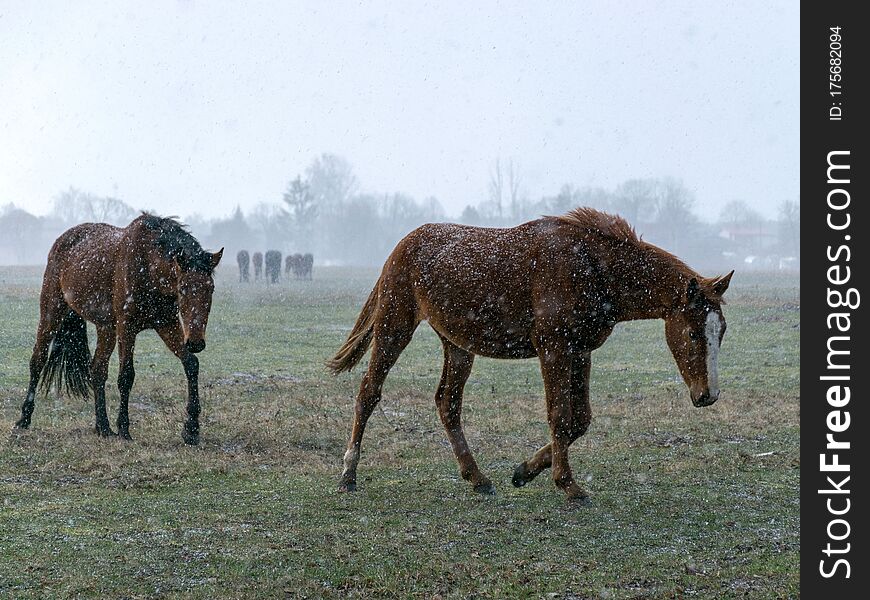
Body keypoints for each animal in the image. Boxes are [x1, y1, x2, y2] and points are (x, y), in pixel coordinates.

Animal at [14, 213, 225, 442]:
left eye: (211, 289)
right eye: (182, 288)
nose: (195, 342)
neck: (148, 267)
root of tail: (62, 240)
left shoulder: (167, 324)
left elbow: (191, 364)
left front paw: (191, 428)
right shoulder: (127, 327)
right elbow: (126, 376)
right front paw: (124, 429)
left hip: (105, 328)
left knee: (97, 369)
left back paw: (103, 427)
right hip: (52, 312)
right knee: (38, 360)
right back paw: (24, 419)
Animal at [330, 209, 732, 500]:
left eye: (722, 330)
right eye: (694, 332)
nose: (708, 395)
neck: (593, 268)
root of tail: (401, 246)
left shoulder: (580, 351)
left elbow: (580, 419)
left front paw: (524, 471)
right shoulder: (553, 349)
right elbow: (560, 416)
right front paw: (568, 484)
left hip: (457, 346)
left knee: (448, 404)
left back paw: (477, 477)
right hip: (394, 327)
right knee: (369, 393)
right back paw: (348, 474)